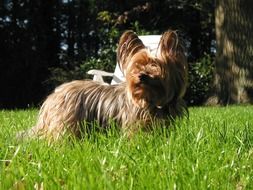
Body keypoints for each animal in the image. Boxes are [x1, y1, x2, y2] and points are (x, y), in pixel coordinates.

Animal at [18, 29, 188, 140]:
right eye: (137, 65)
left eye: (155, 66)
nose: (141, 75)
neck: (152, 100)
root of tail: (53, 97)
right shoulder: (135, 124)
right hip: (66, 119)